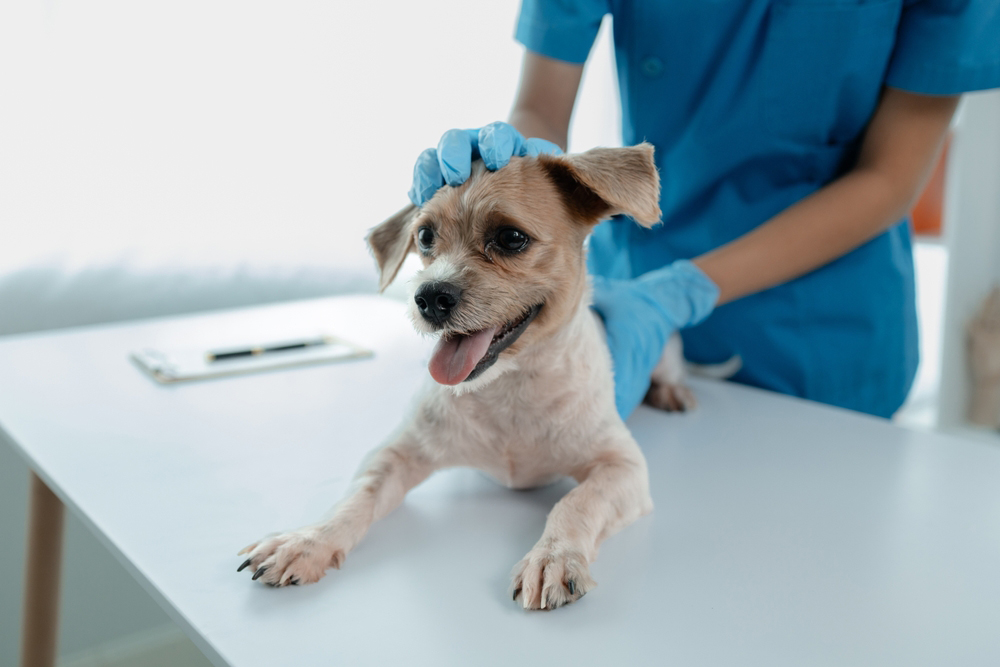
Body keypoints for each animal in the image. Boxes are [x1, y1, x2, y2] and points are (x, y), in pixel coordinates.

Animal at [238, 145, 700, 612]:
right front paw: (307, 541)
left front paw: (553, 557)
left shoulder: (623, 467)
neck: (509, 389)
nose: (429, 297)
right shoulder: (396, 454)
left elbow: (575, 502)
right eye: (425, 236)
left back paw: (673, 392)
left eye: (511, 237)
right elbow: (357, 497)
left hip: (666, 348)